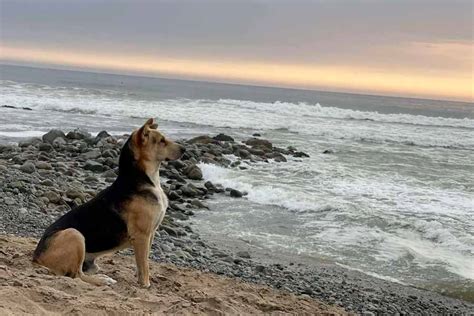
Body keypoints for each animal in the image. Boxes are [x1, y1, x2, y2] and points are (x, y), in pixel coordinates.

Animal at [32, 118, 184, 286]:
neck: (142, 179)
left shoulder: (151, 234)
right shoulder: (142, 236)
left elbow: (143, 262)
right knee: (77, 275)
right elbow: (144, 264)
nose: (184, 149)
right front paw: (145, 284)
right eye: (161, 141)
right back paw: (103, 280)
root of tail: (36, 257)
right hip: (74, 234)